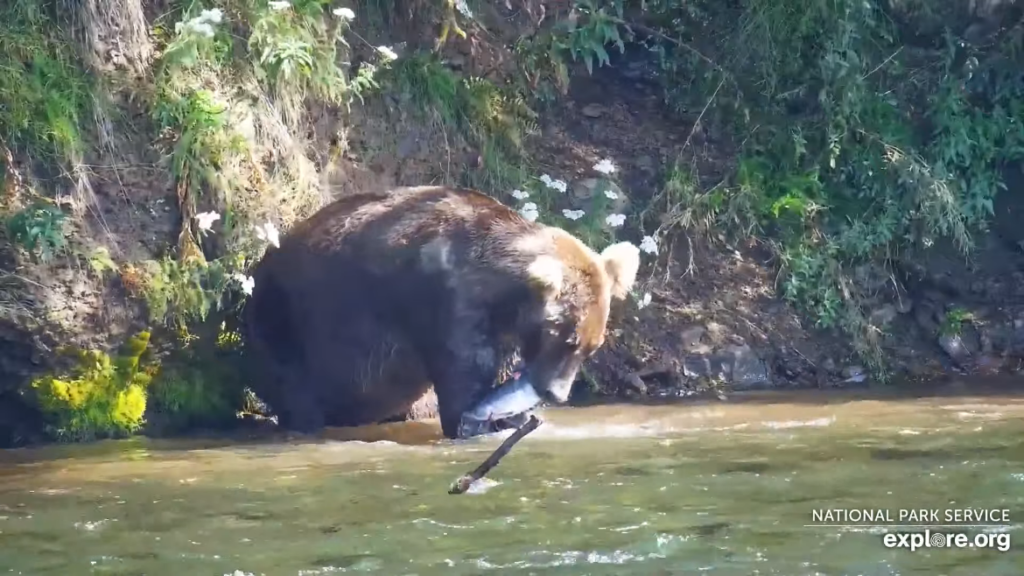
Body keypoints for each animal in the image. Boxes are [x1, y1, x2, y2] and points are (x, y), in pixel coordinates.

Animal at [241, 186, 638, 436]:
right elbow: (462, 376)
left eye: (591, 347)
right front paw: (477, 422)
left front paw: (508, 417)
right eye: (567, 340)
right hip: (286, 319)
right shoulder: (447, 301)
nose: (557, 393)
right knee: (296, 389)